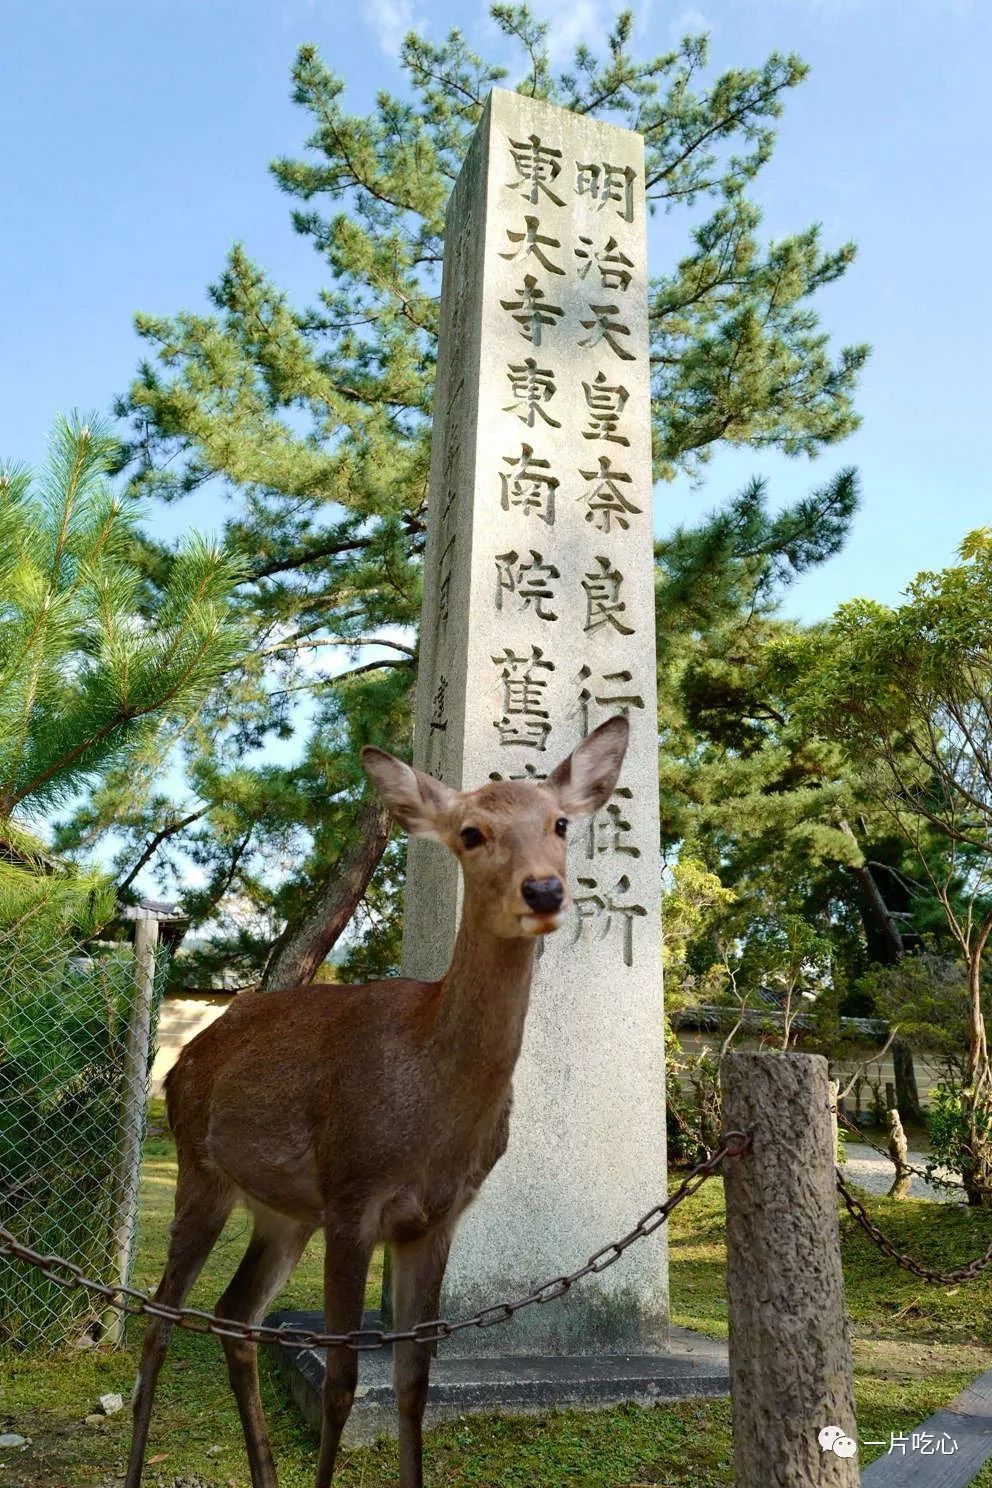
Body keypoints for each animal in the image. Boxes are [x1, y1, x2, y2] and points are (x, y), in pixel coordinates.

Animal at [125, 715, 629, 1488]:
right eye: (472, 832)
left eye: (561, 823)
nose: (544, 891)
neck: (430, 1115)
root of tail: (181, 1062)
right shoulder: (353, 1196)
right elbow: (340, 1383)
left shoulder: (436, 1220)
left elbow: (414, 1385)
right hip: (200, 1169)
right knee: (159, 1318)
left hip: (284, 1212)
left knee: (235, 1313)